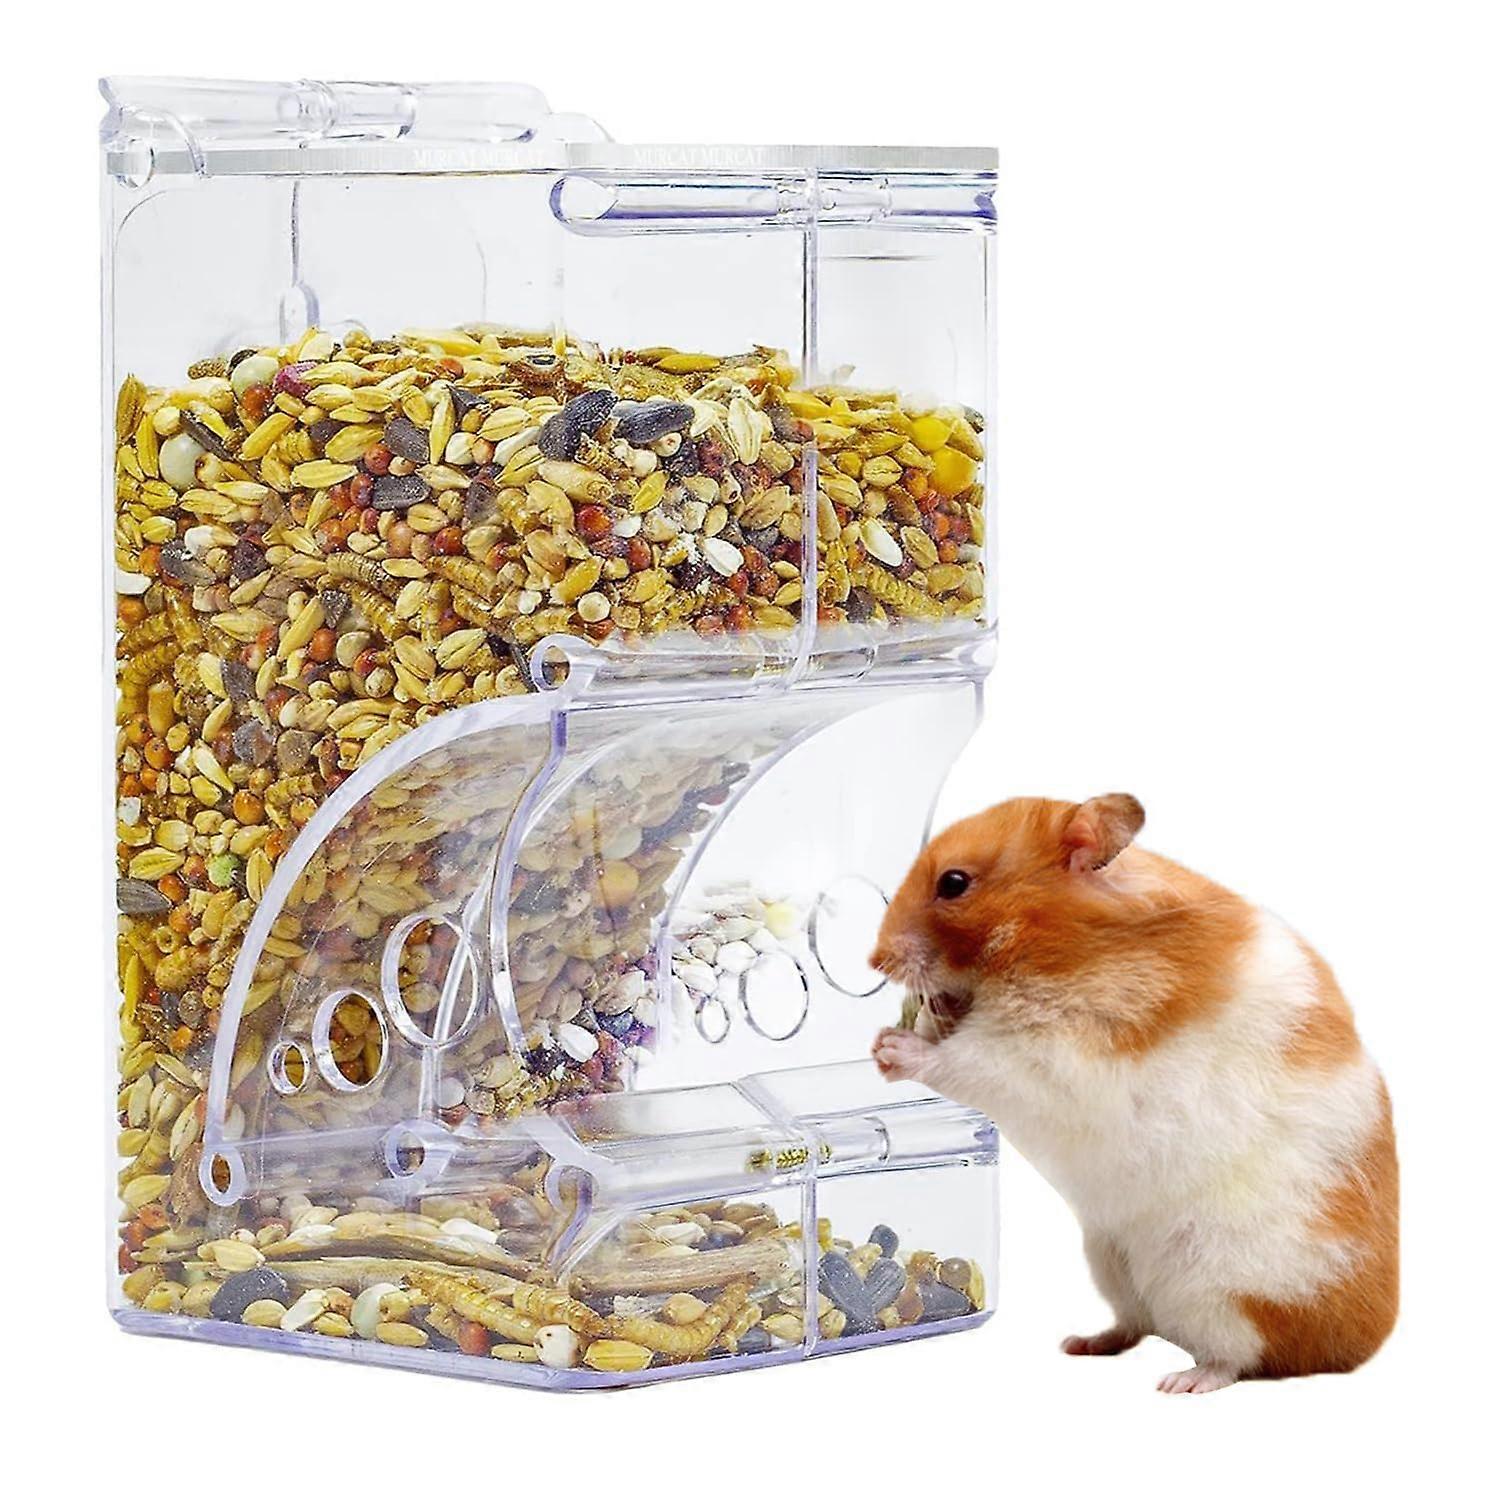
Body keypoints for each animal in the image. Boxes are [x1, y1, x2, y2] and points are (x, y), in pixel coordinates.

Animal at [869, 794, 1398, 1394]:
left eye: (954, 883)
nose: (873, 960)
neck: (1048, 943)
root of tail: (1352, 1346)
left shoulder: (1043, 1060)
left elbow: (962, 1062)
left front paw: (887, 1048)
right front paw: (914, 1021)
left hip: (1226, 1288)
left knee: (1239, 1357)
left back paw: (1183, 1382)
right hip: (1111, 1260)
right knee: (1136, 1324)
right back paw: (1082, 1344)